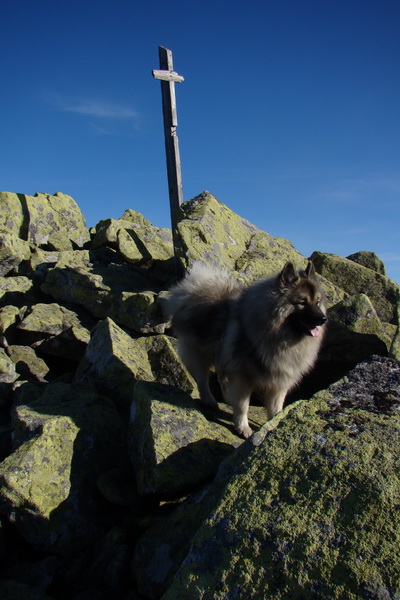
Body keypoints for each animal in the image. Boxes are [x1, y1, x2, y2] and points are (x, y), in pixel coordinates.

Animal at [167, 260, 326, 438]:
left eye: (317, 302)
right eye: (302, 302)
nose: (323, 319)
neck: (277, 336)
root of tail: (194, 289)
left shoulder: (279, 382)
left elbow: (276, 409)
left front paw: (274, 425)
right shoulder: (243, 378)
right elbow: (243, 405)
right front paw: (243, 427)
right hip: (200, 355)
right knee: (202, 380)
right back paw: (209, 400)